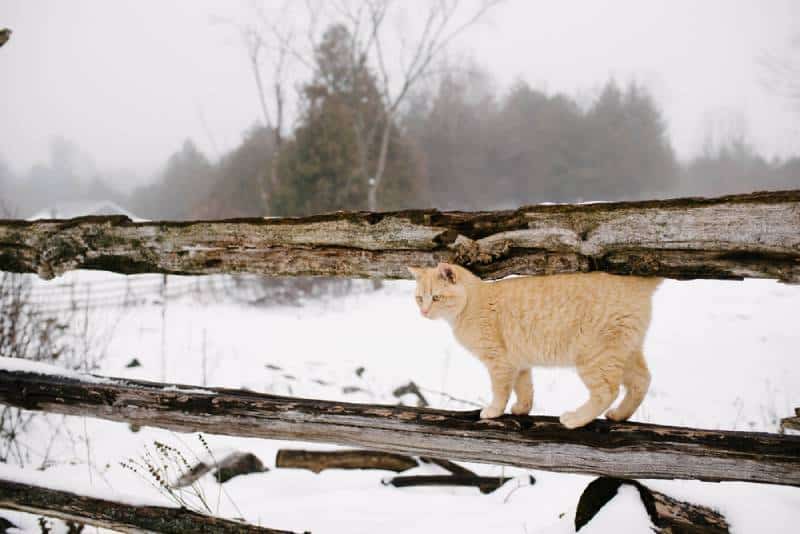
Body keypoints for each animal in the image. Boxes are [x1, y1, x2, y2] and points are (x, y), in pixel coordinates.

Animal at [406, 264, 664, 432]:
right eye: (419, 298)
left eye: (436, 298)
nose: (424, 311)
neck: (472, 302)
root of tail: (636, 283)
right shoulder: (518, 362)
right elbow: (524, 388)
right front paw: (522, 409)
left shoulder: (498, 362)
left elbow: (500, 391)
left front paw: (493, 411)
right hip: (626, 352)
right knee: (642, 381)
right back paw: (619, 415)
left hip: (594, 357)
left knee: (607, 392)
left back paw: (575, 419)